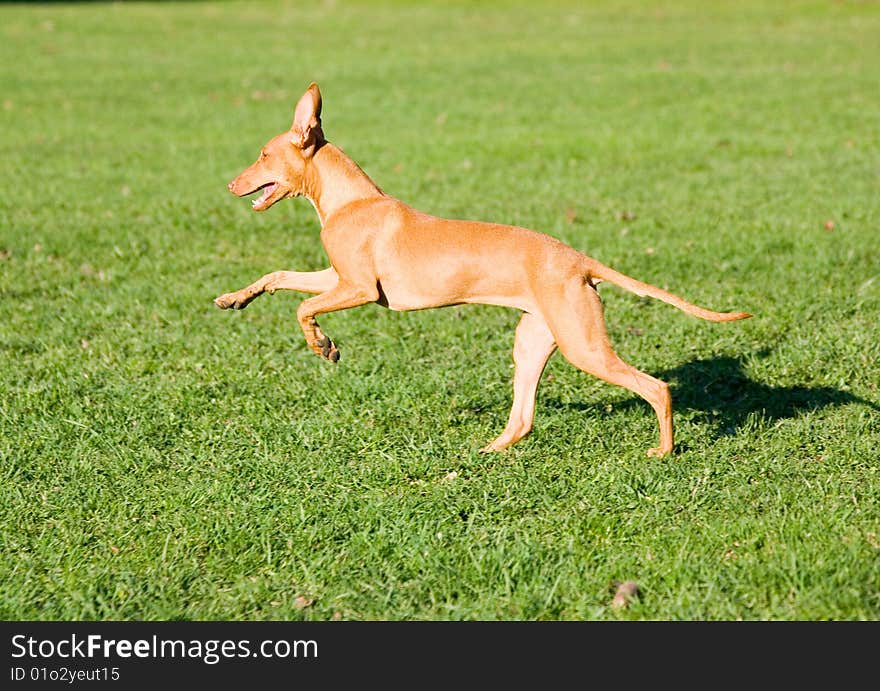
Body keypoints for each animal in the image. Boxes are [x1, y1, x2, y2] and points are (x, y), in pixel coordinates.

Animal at [217, 84, 752, 456]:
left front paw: (323, 347)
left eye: (263, 154)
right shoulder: (337, 278)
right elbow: (279, 278)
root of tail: (578, 260)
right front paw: (234, 298)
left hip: (583, 346)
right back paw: (488, 451)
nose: (229, 185)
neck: (352, 201)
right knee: (524, 418)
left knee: (656, 388)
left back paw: (663, 450)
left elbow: (303, 308)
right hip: (533, 341)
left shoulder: (361, 289)